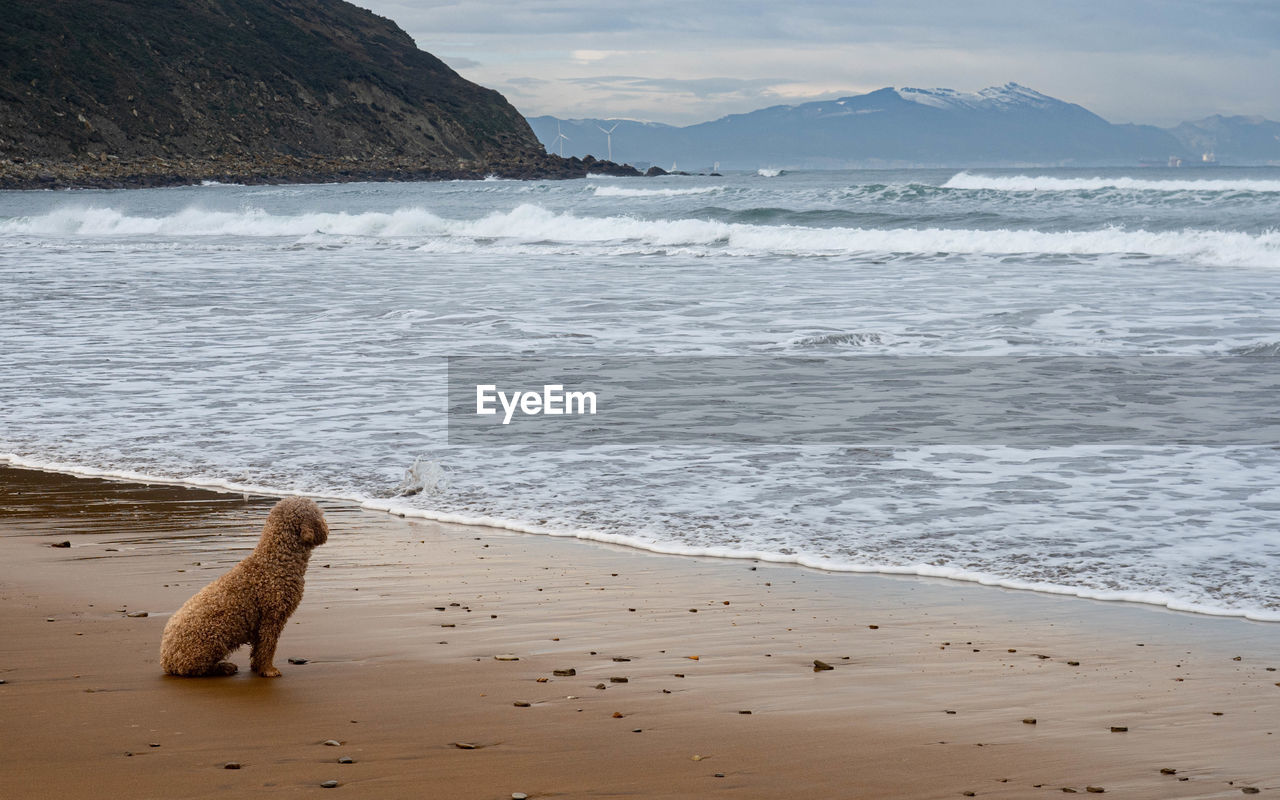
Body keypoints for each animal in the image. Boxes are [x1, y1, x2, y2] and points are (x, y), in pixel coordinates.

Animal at [159, 496, 327, 675]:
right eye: (319, 513)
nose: (327, 526)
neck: (276, 559)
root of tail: (166, 660)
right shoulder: (271, 617)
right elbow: (268, 646)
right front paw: (268, 669)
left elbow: (259, 648)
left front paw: (257, 667)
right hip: (213, 640)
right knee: (199, 668)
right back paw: (223, 667)